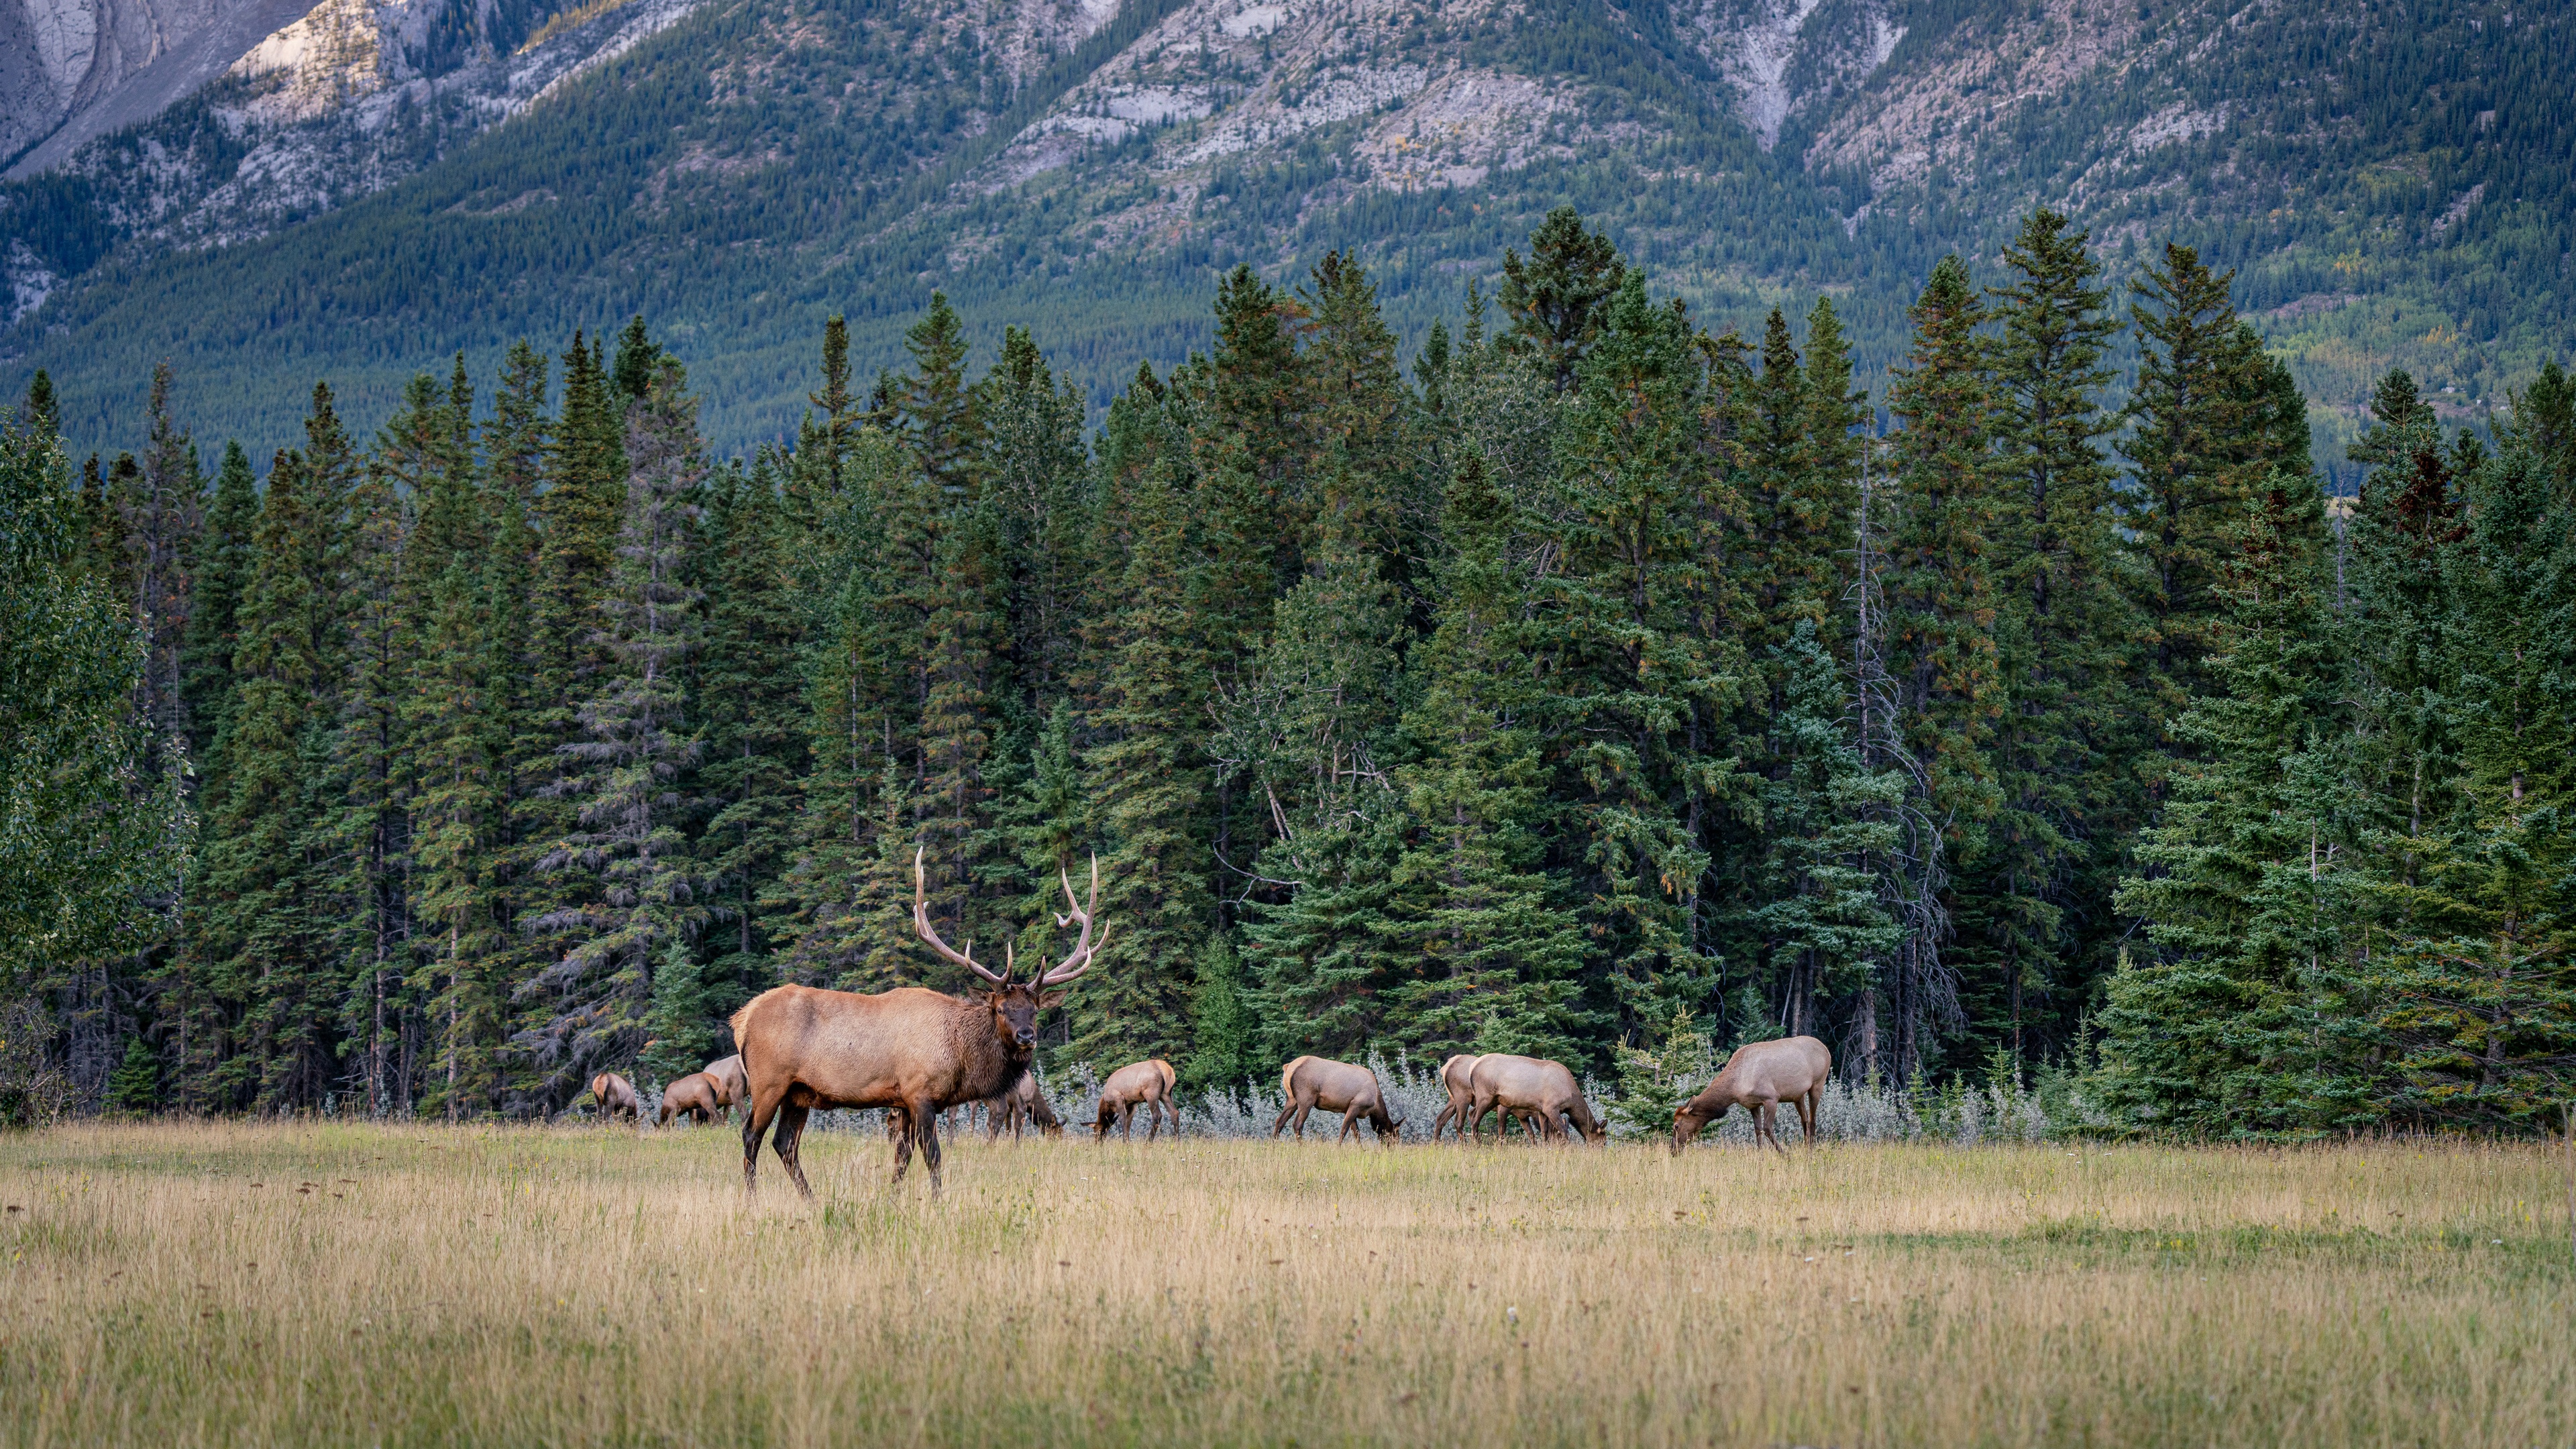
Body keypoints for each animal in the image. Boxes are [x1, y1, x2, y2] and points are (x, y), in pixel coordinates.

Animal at [726, 840, 1108, 1191]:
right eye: (1000, 1009)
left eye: (1035, 1010)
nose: (1026, 1036)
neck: (959, 1055)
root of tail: (742, 1019)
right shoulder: (919, 1093)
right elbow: (932, 1156)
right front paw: (937, 1201)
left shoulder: (905, 1101)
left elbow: (902, 1157)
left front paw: (892, 1198)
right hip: (769, 1082)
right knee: (751, 1135)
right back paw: (752, 1197)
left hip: (799, 1092)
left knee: (785, 1144)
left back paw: (811, 1198)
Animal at [1092, 1046, 1179, 1139]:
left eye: (1096, 1132)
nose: (1098, 1141)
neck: (1107, 1103)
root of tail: (1168, 1070)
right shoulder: (1132, 1104)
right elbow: (1128, 1123)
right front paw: (1127, 1140)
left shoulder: (1118, 1099)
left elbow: (1122, 1120)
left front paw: (1125, 1141)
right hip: (1165, 1094)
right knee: (1175, 1113)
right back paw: (1177, 1140)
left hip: (1151, 1093)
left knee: (1157, 1115)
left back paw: (1149, 1140)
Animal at [1262, 1046, 1391, 1139]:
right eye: (1393, 1134)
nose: (1390, 1147)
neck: (1375, 1104)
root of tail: (1288, 1067)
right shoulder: (1356, 1104)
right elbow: (1344, 1130)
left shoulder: (1349, 1108)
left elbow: (1356, 1133)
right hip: (1306, 1098)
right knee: (1297, 1124)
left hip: (1291, 1099)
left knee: (1280, 1121)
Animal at [1463, 1046, 1597, 1139]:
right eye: (1600, 1136)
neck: (1571, 1097)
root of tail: (1472, 1068)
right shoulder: (1551, 1107)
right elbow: (1564, 1131)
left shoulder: (1541, 1110)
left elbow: (1543, 1133)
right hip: (1486, 1097)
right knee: (1474, 1118)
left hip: (1492, 1100)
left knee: (1471, 1114)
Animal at [1669, 1026, 1834, 1150]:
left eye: (1676, 1126)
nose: (1673, 1149)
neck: (1735, 1087)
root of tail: (1826, 1049)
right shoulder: (1753, 1104)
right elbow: (1757, 1130)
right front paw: (1761, 1156)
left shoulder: (1771, 1098)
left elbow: (1767, 1128)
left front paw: (1785, 1155)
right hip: (1798, 1096)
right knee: (1805, 1120)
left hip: (1817, 1085)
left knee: (1813, 1120)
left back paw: (1810, 1152)